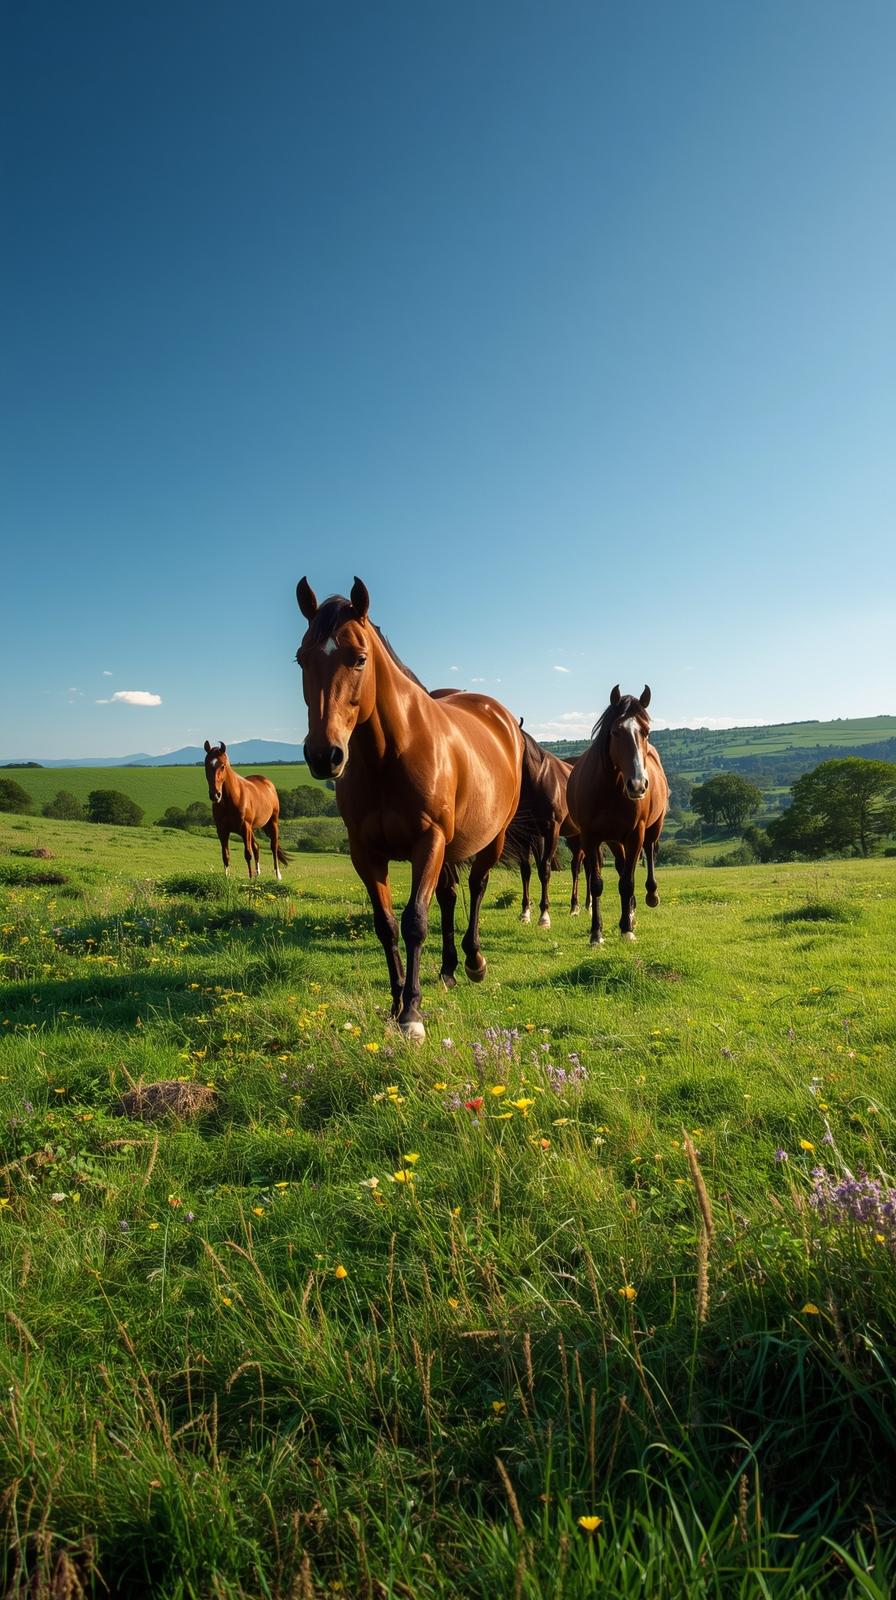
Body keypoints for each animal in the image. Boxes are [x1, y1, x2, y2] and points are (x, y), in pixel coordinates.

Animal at [203, 741, 289, 880]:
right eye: (206, 765)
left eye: (222, 766)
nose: (215, 795)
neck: (232, 799)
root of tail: (267, 783)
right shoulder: (222, 830)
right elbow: (225, 855)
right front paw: (227, 877)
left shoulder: (245, 827)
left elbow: (247, 853)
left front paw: (250, 879)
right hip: (252, 829)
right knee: (257, 847)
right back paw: (258, 874)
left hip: (272, 823)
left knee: (273, 847)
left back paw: (278, 875)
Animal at [295, 576, 524, 1041]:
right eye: (300, 659)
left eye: (359, 658)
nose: (324, 756)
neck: (389, 755)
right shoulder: (365, 853)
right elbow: (385, 925)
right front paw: (396, 1002)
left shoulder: (428, 841)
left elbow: (415, 920)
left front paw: (412, 1014)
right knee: (450, 895)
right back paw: (449, 968)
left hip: (490, 838)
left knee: (476, 887)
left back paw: (474, 962)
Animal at [565, 686, 668, 945]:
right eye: (615, 731)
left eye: (647, 731)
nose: (638, 785)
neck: (610, 789)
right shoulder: (590, 837)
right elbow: (598, 883)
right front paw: (596, 933)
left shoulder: (635, 835)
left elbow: (627, 883)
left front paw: (627, 929)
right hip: (613, 840)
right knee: (621, 866)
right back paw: (630, 910)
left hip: (652, 828)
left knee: (649, 851)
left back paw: (650, 896)